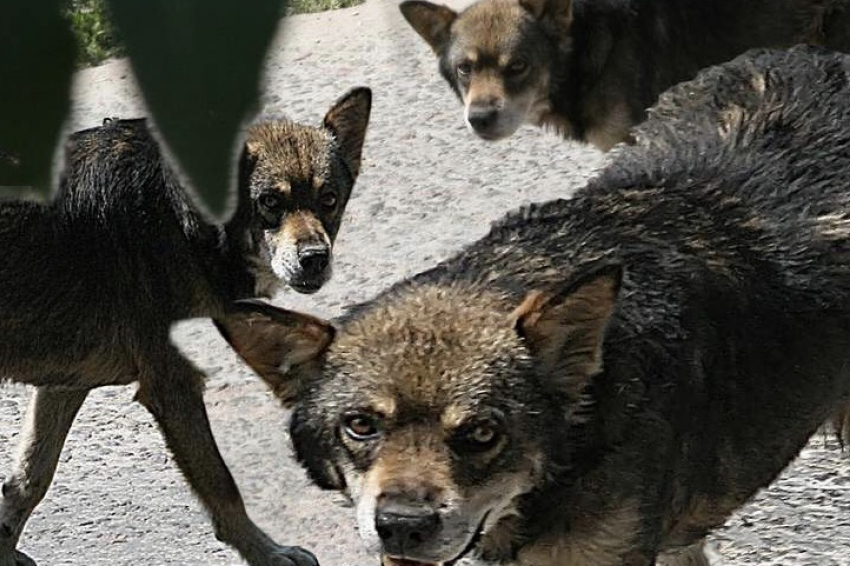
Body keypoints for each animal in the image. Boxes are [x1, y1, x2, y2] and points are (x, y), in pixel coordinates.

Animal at [0, 86, 372, 566]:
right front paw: (267, 553)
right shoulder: (173, 387)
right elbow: (223, 488)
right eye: (270, 202)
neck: (184, 213)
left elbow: (28, 480)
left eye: (328, 199)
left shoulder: (64, 384)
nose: (315, 259)